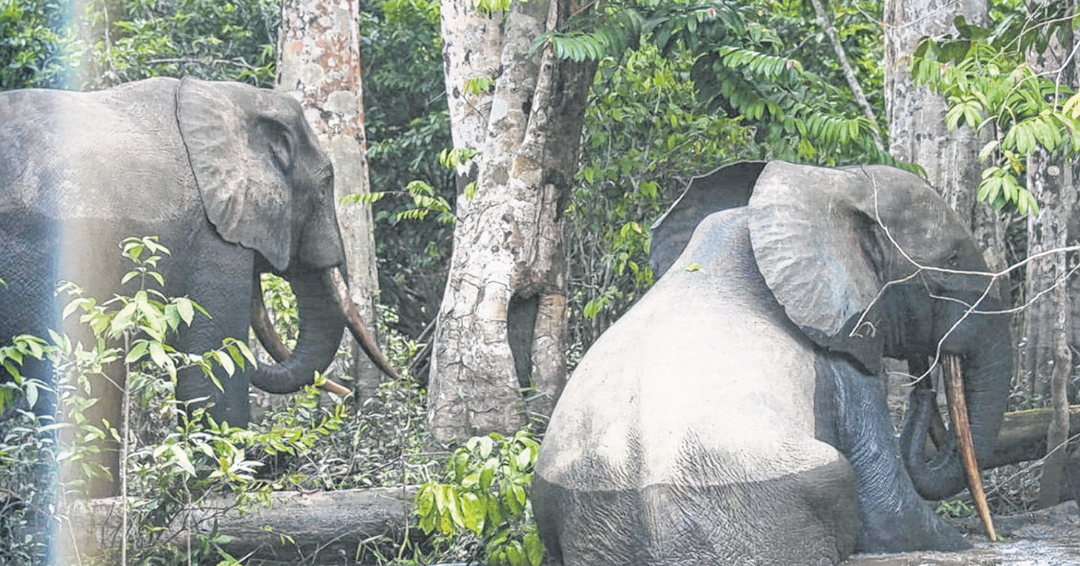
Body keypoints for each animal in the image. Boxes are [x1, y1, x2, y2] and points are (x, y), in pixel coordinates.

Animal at [0, 78, 401, 494]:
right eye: (325, 184)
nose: (350, 397)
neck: (232, 98)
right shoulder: (211, 235)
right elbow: (214, 359)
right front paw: (224, 485)